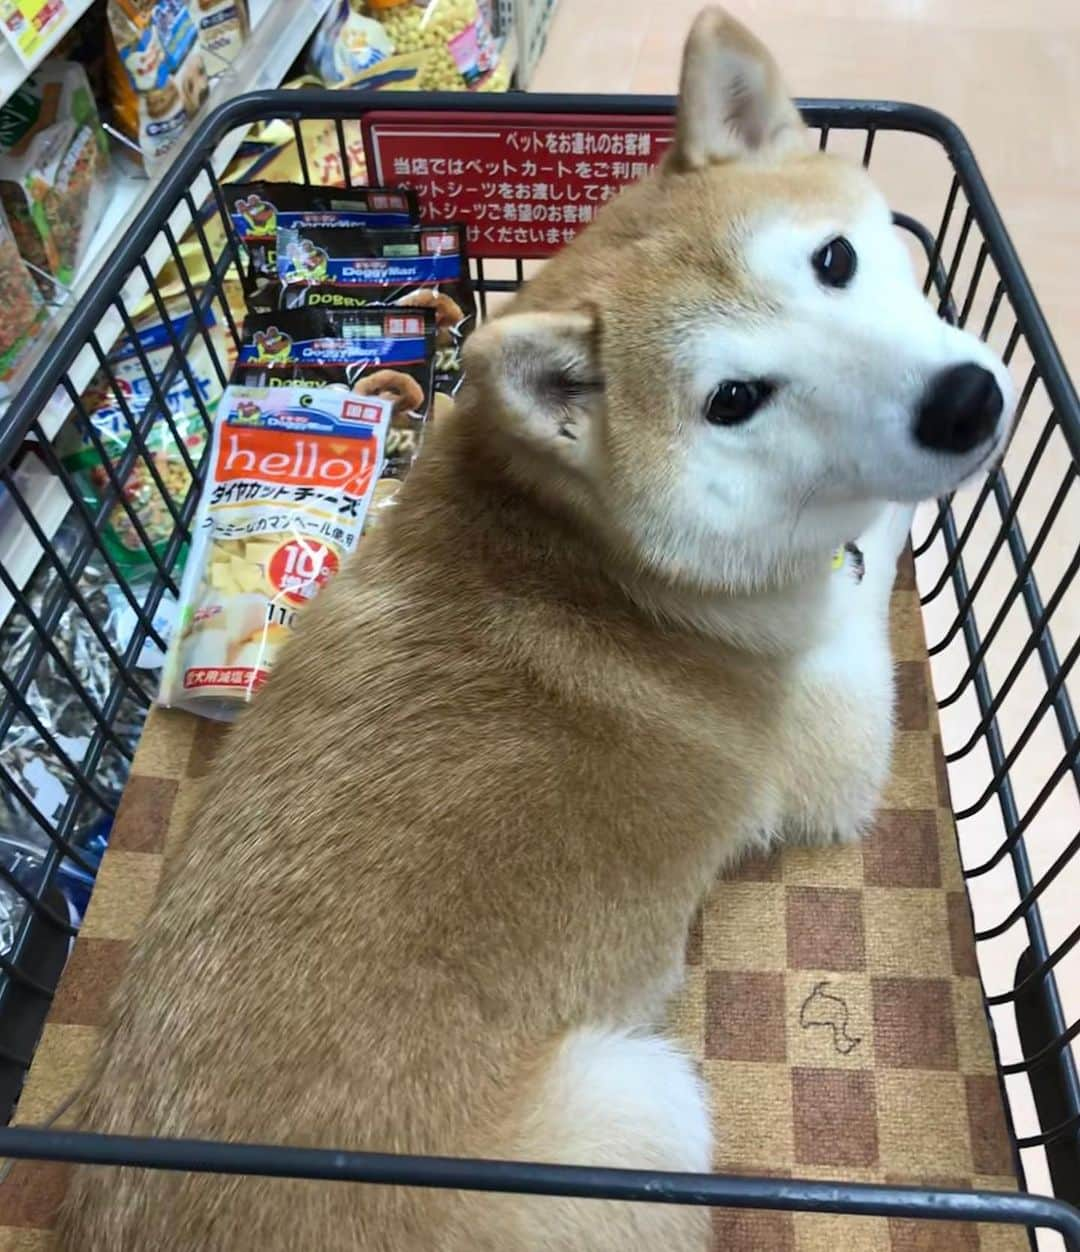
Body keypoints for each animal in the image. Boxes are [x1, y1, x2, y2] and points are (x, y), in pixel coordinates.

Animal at [65, 4, 1011, 1246]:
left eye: (836, 261)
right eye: (734, 401)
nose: (969, 400)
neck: (595, 551)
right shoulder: (828, 727)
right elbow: (869, 559)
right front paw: (889, 523)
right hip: (644, 1096)